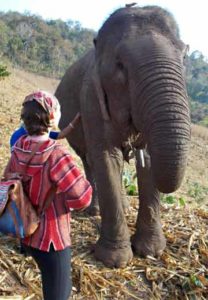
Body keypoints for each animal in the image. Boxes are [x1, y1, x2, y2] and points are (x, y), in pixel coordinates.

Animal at [54, 4, 190, 268]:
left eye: (184, 57)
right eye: (120, 66)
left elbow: (149, 161)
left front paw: (150, 251)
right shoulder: (92, 98)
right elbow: (107, 157)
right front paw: (115, 260)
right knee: (90, 161)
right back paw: (95, 211)